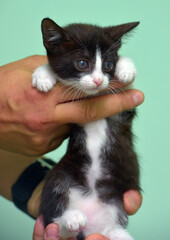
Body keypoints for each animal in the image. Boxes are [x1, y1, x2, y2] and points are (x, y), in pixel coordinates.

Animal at [32, 18, 140, 240]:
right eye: (82, 63)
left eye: (108, 65)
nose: (99, 80)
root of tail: (91, 226)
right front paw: (44, 75)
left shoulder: (122, 116)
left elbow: (125, 95)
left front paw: (125, 68)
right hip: (61, 174)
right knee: (55, 218)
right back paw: (71, 218)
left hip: (115, 198)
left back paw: (120, 234)